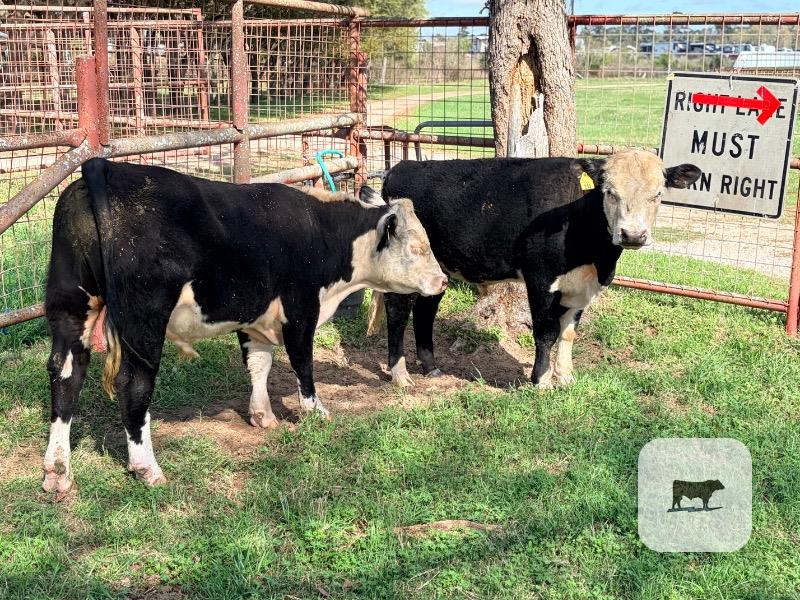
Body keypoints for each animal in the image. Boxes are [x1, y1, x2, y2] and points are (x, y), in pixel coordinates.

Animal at [42, 158, 447, 494]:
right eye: (416, 248)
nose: (443, 280)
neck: (322, 233)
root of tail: (109, 167)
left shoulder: (256, 317)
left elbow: (259, 365)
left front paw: (263, 415)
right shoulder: (300, 312)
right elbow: (303, 365)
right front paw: (316, 412)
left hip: (71, 305)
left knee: (65, 374)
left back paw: (57, 471)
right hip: (143, 320)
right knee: (134, 384)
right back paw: (147, 468)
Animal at [365, 150, 701, 389]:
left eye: (658, 194)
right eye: (610, 192)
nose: (632, 235)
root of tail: (400, 167)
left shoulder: (582, 286)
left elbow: (568, 333)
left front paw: (566, 377)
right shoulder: (540, 278)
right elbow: (545, 331)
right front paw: (541, 380)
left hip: (440, 268)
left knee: (426, 310)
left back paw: (430, 365)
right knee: (398, 312)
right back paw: (399, 374)